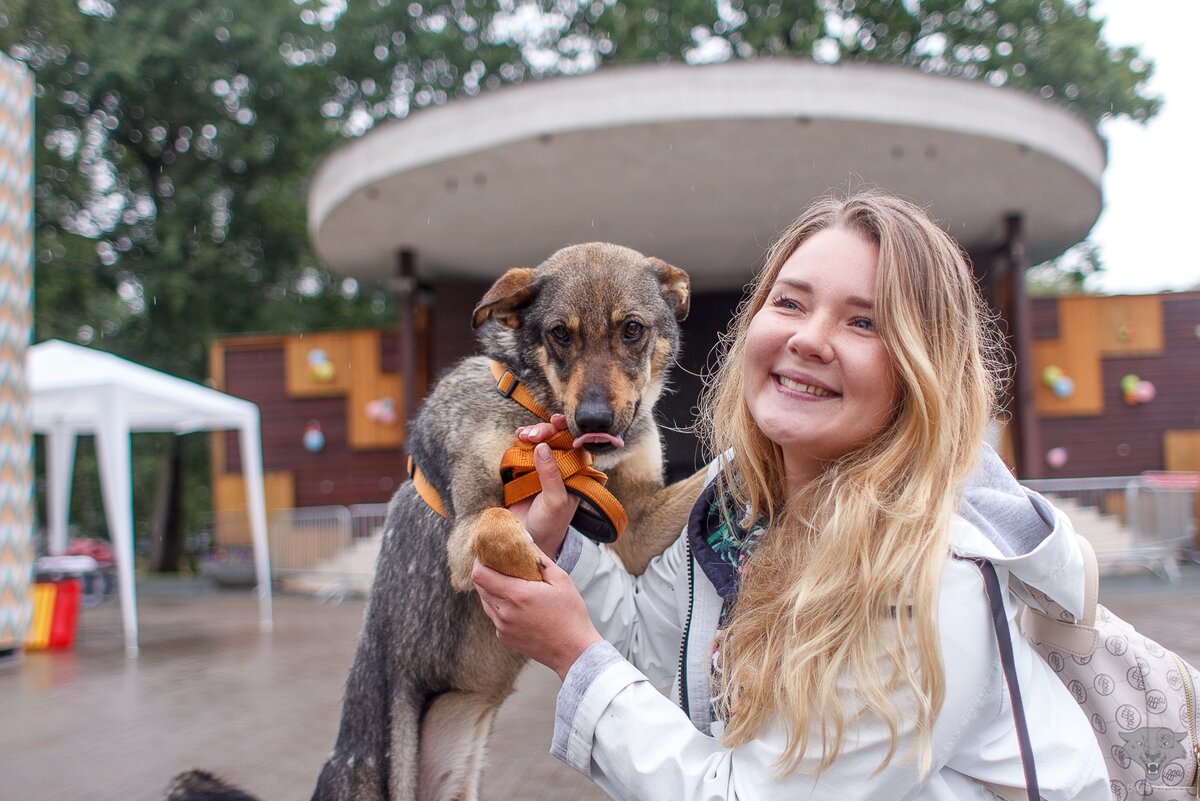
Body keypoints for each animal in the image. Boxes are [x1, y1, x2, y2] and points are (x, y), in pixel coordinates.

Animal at [174, 244, 705, 801]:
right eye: (560, 334)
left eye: (632, 329)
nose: (596, 422)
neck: (543, 416)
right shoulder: (469, 528)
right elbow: (499, 529)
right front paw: (541, 587)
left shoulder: (636, 524)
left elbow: (708, 479)